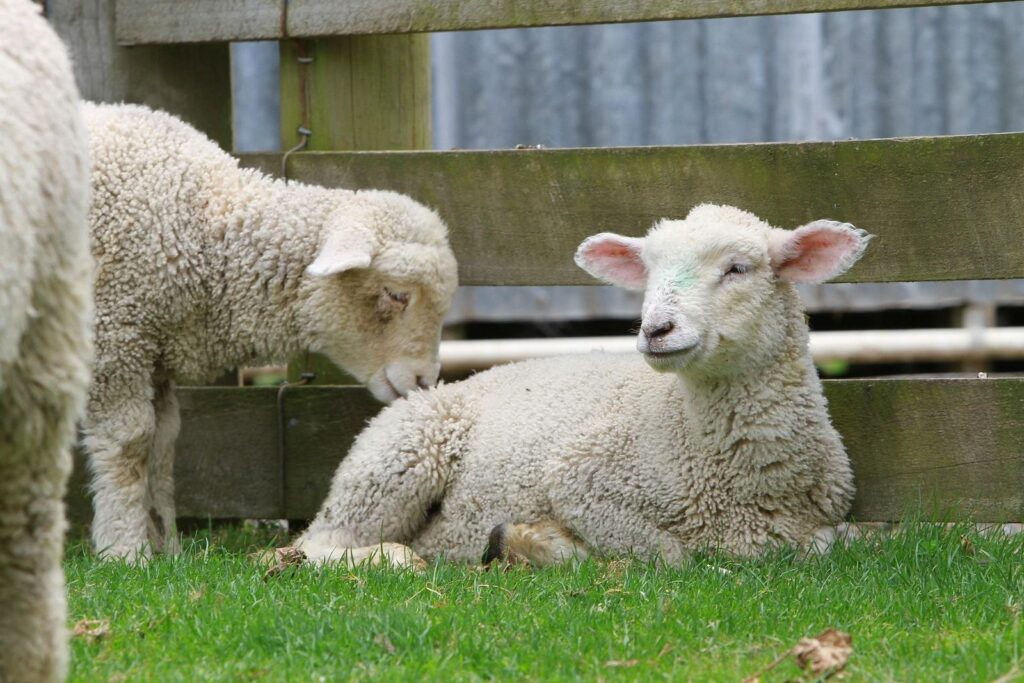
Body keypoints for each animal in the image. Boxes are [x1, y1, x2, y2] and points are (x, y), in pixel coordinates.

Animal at [81, 103, 458, 561]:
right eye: (396, 294)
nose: (425, 380)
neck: (203, 224)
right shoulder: (115, 336)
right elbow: (130, 442)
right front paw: (125, 548)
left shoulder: (154, 353)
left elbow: (163, 444)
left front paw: (166, 547)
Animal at [293, 204, 868, 567]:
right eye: (648, 272)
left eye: (738, 268)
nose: (655, 330)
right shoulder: (582, 478)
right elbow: (674, 555)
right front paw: (536, 542)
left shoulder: (818, 525)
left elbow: (835, 542)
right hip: (396, 459)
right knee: (314, 545)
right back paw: (394, 558)